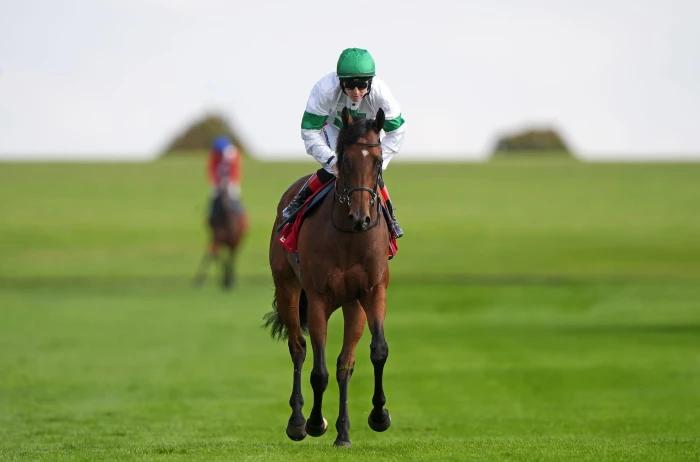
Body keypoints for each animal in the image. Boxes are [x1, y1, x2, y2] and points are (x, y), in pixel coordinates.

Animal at [266, 106, 392, 446]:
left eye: (377, 162)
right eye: (345, 161)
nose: (361, 217)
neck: (348, 236)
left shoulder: (372, 291)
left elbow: (376, 352)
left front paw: (379, 416)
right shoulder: (318, 298)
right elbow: (318, 370)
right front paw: (313, 422)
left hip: (351, 305)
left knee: (344, 364)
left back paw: (343, 432)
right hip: (288, 289)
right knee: (298, 348)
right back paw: (298, 421)